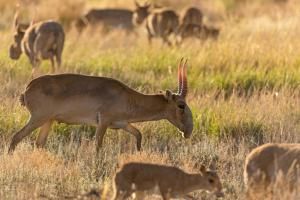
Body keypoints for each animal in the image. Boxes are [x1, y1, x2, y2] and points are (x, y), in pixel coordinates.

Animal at [8, 58, 193, 152]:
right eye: (181, 105)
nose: (188, 132)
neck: (126, 96)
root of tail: (28, 88)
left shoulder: (122, 124)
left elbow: (139, 134)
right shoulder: (102, 123)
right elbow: (98, 146)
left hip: (48, 121)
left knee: (39, 143)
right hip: (38, 119)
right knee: (16, 137)